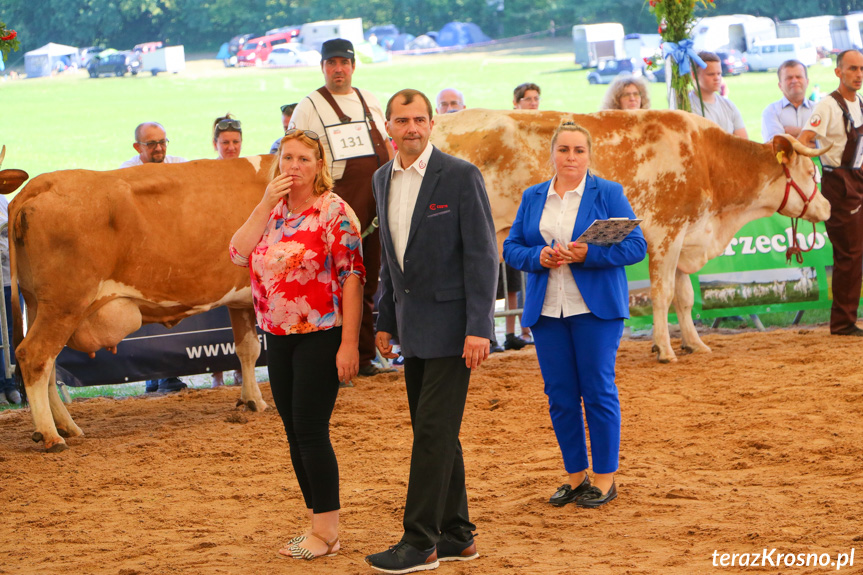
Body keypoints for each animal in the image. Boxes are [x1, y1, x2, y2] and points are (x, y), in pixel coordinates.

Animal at [0, 155, 276, 452]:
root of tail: (42, 183)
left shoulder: (240, 301)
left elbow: (247, 349)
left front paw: (253, 400)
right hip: (64, 305)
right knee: (34, 356)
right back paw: (51, 435)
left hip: (36, 304)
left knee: (48, 367)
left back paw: (67, 426)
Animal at [432, 109, 832, 364]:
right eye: (811, 172)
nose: (827, 208)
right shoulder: (666, 233)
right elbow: (663, 294)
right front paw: (665, 350)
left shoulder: (685, 237)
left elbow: (685, 297)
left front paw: (694, 344)